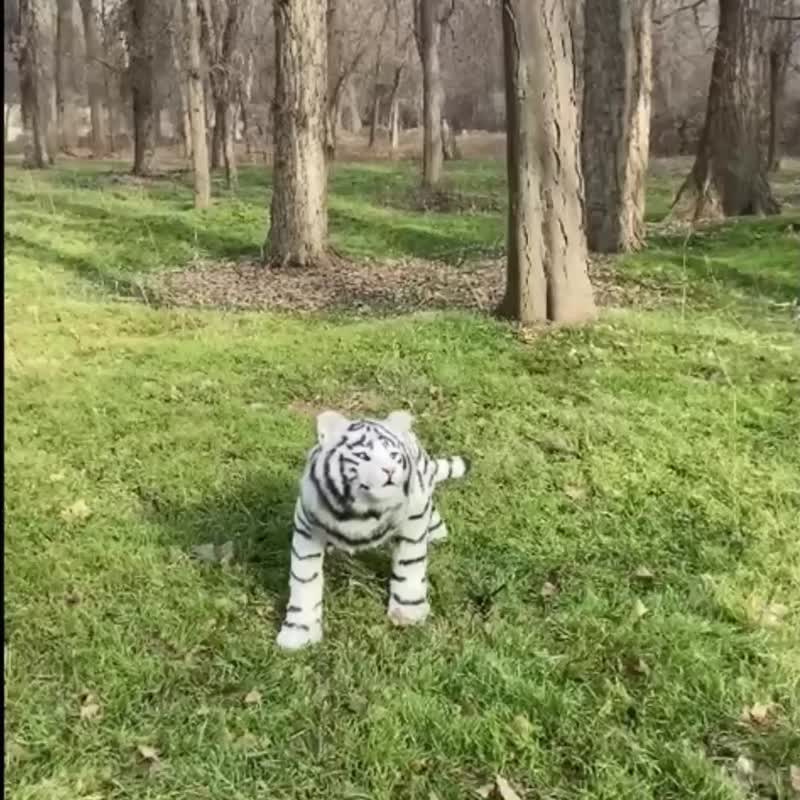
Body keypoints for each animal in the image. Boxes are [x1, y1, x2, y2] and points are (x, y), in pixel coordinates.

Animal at [276, 409, 470, 650]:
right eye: (362, 455)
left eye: (394, 456)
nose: (390, 470)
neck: (364, 510)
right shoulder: (307, 525)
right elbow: (304, 579)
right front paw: (298, 633)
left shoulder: (414, 515)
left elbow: (410, 563)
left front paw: (408, 612)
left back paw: (437, 535)